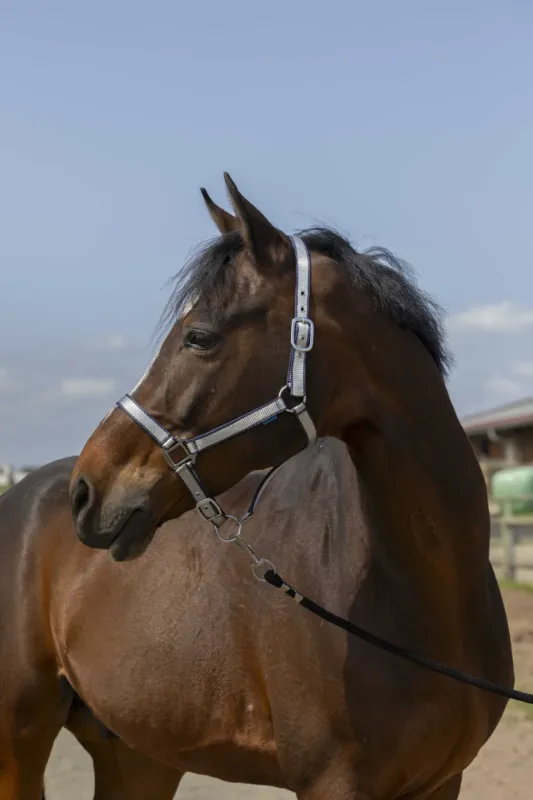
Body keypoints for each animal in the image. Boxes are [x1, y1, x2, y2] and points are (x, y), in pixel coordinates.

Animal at [0, 174, 513, 799]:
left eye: (198, 337)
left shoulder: (443, 782)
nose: (86, 491)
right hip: (20, 738)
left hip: (136, 755)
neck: (431, 599)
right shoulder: (333, 785)